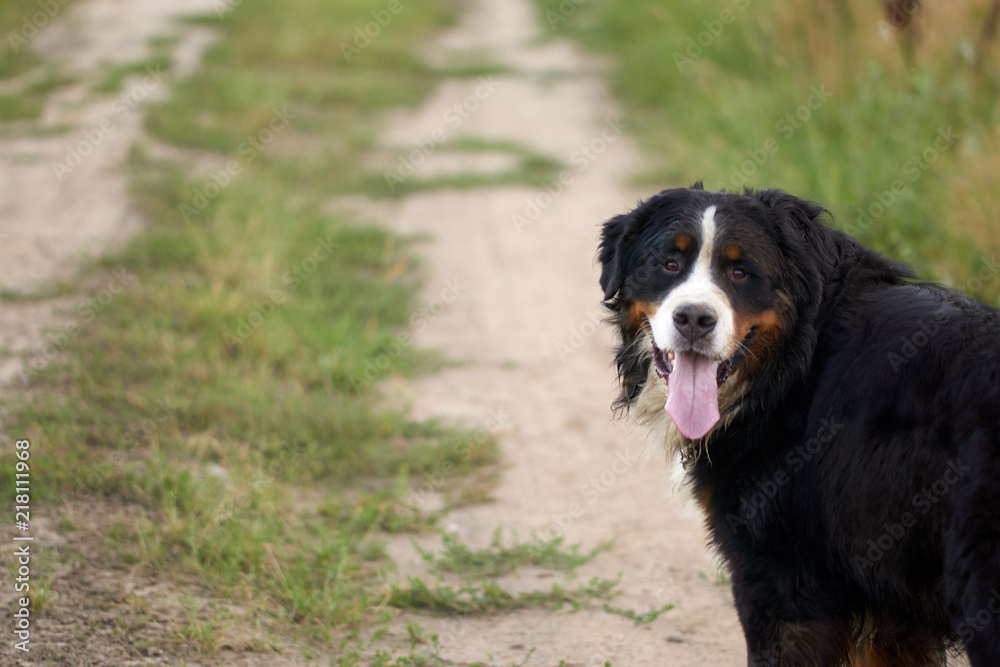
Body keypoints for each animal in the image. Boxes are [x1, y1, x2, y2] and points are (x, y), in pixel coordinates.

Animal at [596, 184, 1000, 667]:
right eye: (669, 264)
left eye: (740, 272)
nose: (694, 319)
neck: (793, 366)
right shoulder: (893, 611)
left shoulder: (781, 578)